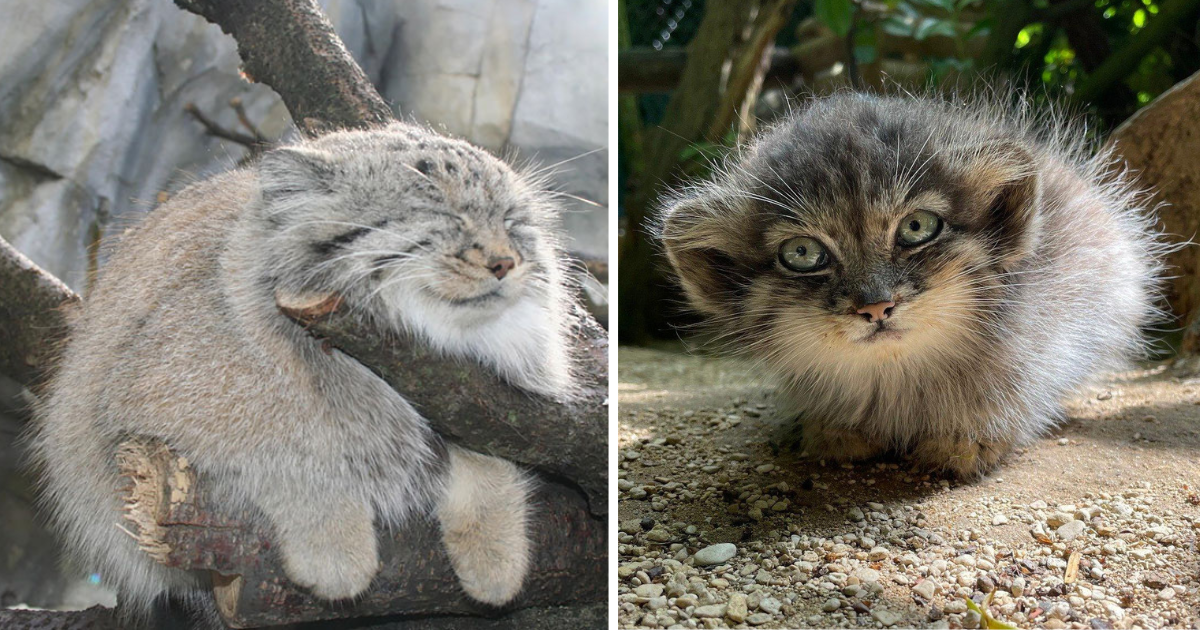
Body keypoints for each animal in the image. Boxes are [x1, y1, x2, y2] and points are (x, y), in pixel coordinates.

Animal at [25, 124, 573, 624]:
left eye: (513, 222)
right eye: (442, 213)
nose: (505, 262)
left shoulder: (489, 410)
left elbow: (492, 464)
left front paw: (495, 552)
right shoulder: (142, 404)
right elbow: (285, 446)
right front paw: (334, 547)